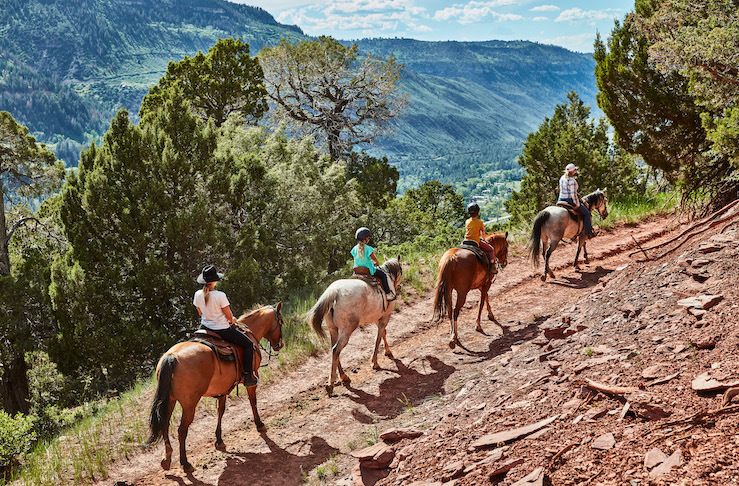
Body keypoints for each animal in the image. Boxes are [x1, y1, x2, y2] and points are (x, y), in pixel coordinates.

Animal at [147, 302, 284, 472]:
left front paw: (219, 439)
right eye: (281, 322)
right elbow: (253, 401)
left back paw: (167, 458)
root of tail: (171, 357)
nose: (279, 345)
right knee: (181, 430)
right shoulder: (253, 377)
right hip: (189, 404)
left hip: (170, 400)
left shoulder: (223, 388)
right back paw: (185, 463)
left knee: (165, 423)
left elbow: (221, 411)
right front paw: (259, 424)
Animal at [310, 256, 408, 392]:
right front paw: (375, 362)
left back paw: (343, 376)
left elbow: (383, 333)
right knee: (336, 350)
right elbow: (378, 337)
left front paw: (387, 351)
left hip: (333, 329)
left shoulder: (377, 317)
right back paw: (332, 382)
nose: (399, 286)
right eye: (401, 270)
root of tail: (334, 292)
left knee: (334, 349)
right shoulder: (385, 315)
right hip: (346, 330)